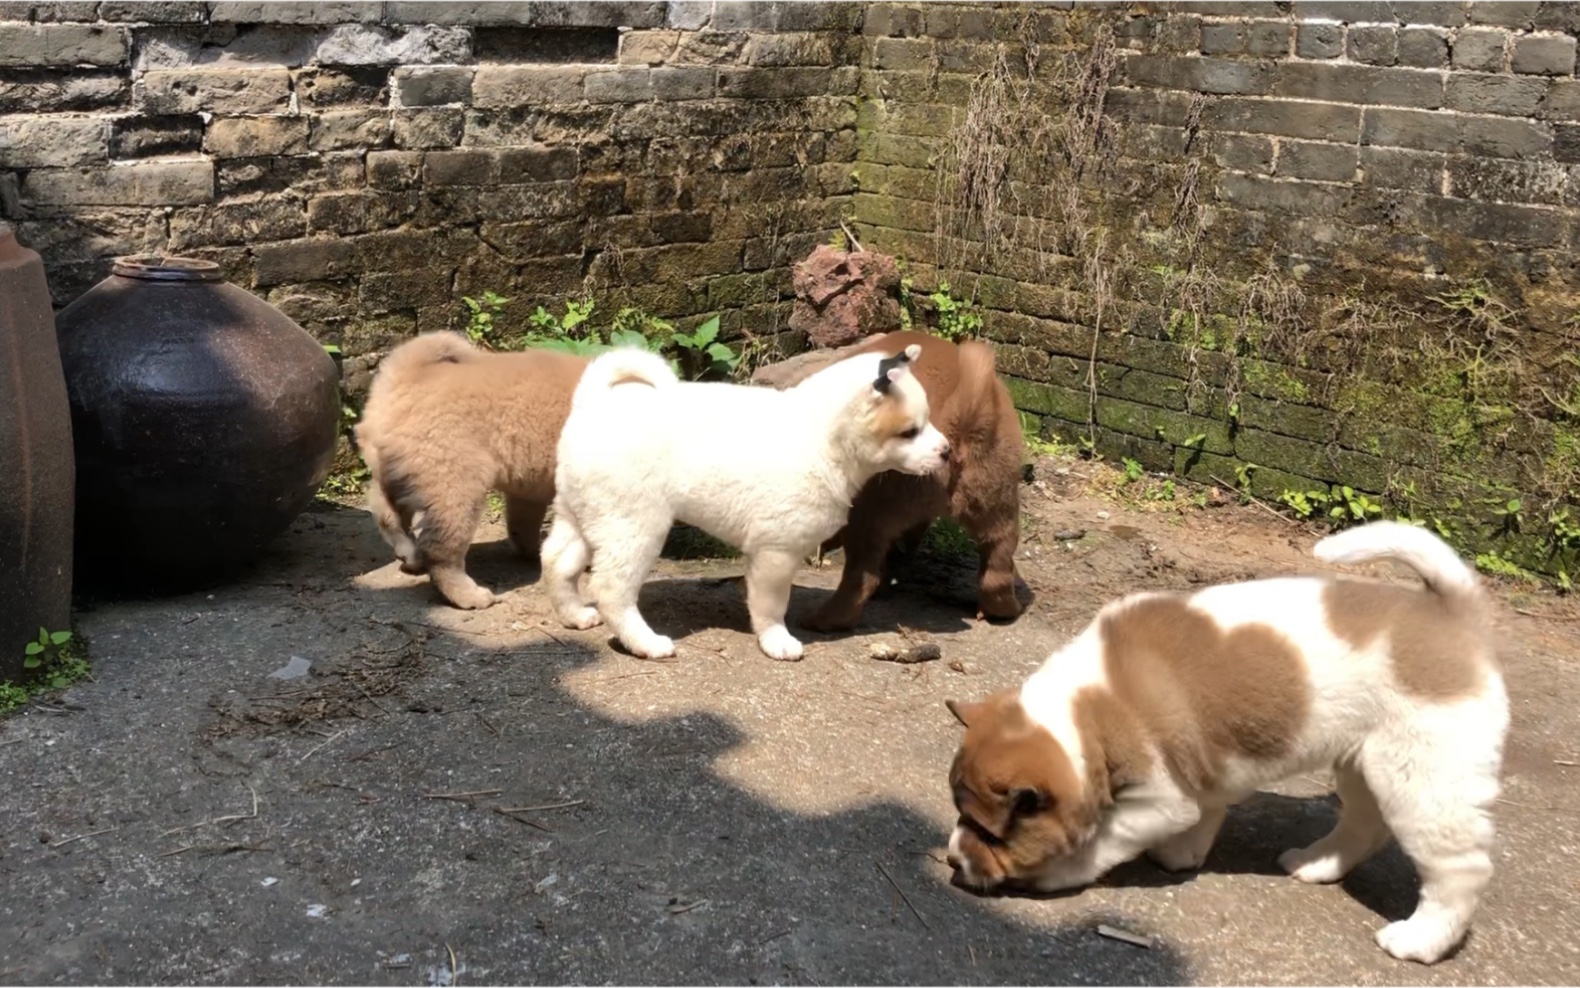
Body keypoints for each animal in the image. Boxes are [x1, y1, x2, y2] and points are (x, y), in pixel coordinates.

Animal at [352, 331, 587, 610]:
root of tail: (406, 377)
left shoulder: (529, 486)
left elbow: (522, 523)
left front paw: (530, 550)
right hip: (456, 484)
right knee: (442, 551)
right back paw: (469, 595)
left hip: (396, 475)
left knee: (388, 517)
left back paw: (409, 554)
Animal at [543, 343, 948, 657]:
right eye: (909, 432)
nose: (946, 451)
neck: (822, 438)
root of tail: (593, 405)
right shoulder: (776, 551)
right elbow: (772, 604)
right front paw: (776, 640)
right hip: (633, 526)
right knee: (612, 589)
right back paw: (646, 643)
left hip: (585, 516)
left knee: (557, 561)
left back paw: (574, 615)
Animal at [752, 328, 1023, 622]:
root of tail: (964, 399)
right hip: (996, 494)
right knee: (999, 555)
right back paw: (1003, 610)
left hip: (872, 510)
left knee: (861, 575)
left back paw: (824, 620)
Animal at [941, 524, 1510, 961]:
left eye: (990, 833)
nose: (951, 860)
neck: (1090, 706)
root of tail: (1453, 615)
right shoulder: (1203, 772)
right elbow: (1207, 809)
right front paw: (1184, 854)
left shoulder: (1159, 799)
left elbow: (1104, 839)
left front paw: (1060, 872)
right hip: (1365, 765)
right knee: (1365, 825)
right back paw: (1317, 864)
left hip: (1425, 777)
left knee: (1462, 868)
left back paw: (1422, 940)